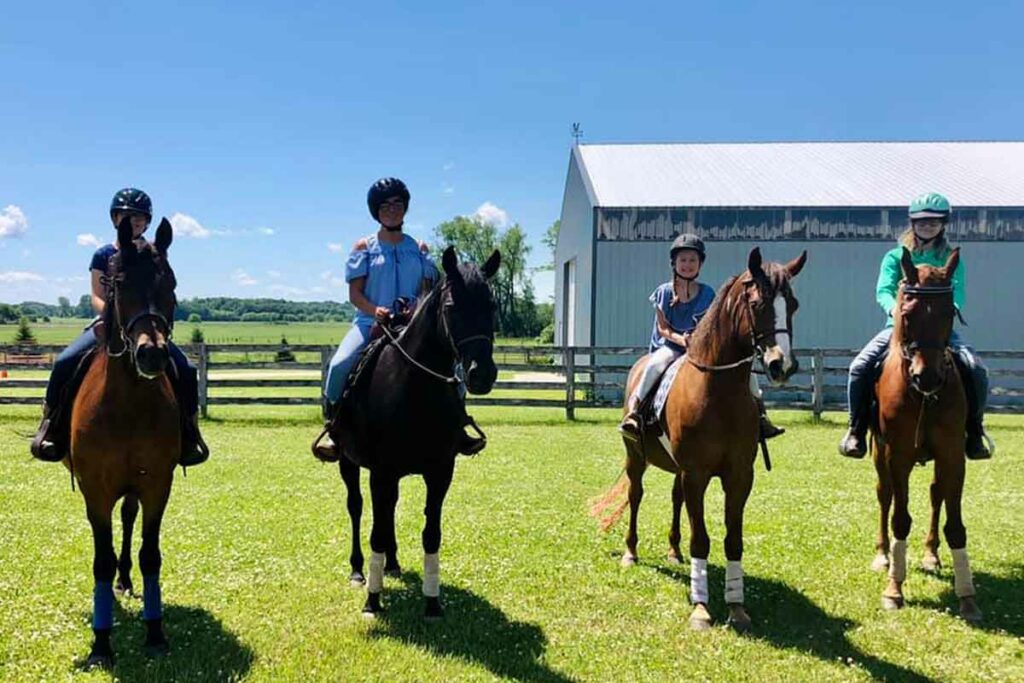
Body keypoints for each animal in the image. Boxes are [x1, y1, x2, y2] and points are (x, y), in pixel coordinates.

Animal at [335, 245, 499, 618]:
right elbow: (375, 531)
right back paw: (358, 571)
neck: (413, 387)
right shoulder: (380, 472)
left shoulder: (440, 472)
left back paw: (393, 564)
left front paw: (432, 602)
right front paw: (373, 600)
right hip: (348, 463)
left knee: (389, 512)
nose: (481, 374)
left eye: (492, 305)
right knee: (357, 508)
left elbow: (431, 534)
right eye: (452, 307)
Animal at [593, 244, 806, 630]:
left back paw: (674, 551)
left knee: (675, 499)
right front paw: (701, 608)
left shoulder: (739, 477)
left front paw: (737, 607)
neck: (718, 392)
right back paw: (631, 552)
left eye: (793, 304)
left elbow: (733, 540)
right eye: (757, 304)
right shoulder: (697, 474)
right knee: (635, 496)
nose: (782, 365)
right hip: (637, 459)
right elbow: (701, 539)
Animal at [868, 246, 978, 626]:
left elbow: (955, 524)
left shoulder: (952, 455)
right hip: (878, 454)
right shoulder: (896, 455)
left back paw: (931, 555)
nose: (926, 377)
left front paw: (967, 597)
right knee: (884, 496)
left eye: (949, 313)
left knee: (935, 494)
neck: (923, 397)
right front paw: (893, 590)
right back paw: (883, 555)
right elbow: (900, 518)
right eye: (906, 312)